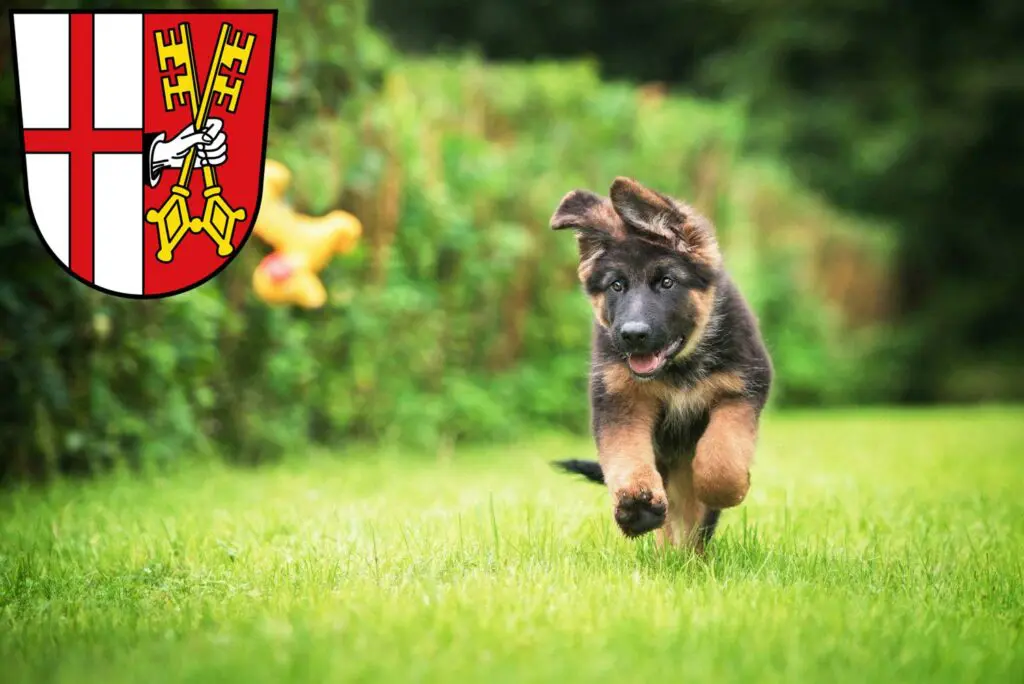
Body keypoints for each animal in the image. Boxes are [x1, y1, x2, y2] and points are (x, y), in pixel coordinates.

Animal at [552, 176, 770, 548]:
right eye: (617, 285)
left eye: (667, 282)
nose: (632, 335)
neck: (677, 369)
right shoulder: (620, 401)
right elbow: (626, 455)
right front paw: (636, 505)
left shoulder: (742, 390)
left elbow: (722, 457)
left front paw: (725, 489)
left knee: (692, 517)